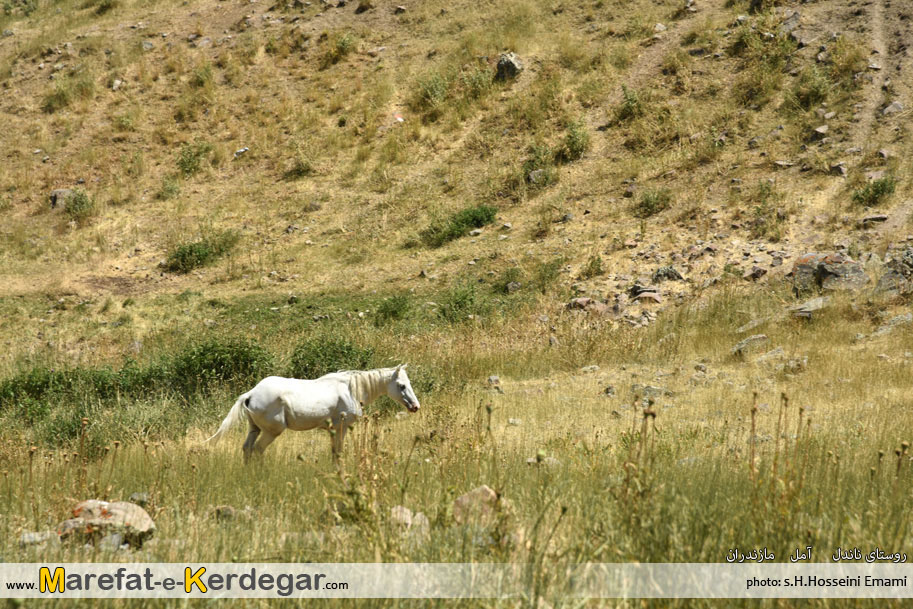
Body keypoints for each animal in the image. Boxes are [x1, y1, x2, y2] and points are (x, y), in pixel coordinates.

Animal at [205, 366, 418, 460]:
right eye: (401, 386)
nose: (415, 406)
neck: (351, 389)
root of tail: (250, 394)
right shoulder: (341, 428)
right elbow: (338, 452)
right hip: (271, 432)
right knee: (257, 450)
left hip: (254, 429)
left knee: (247, 449)